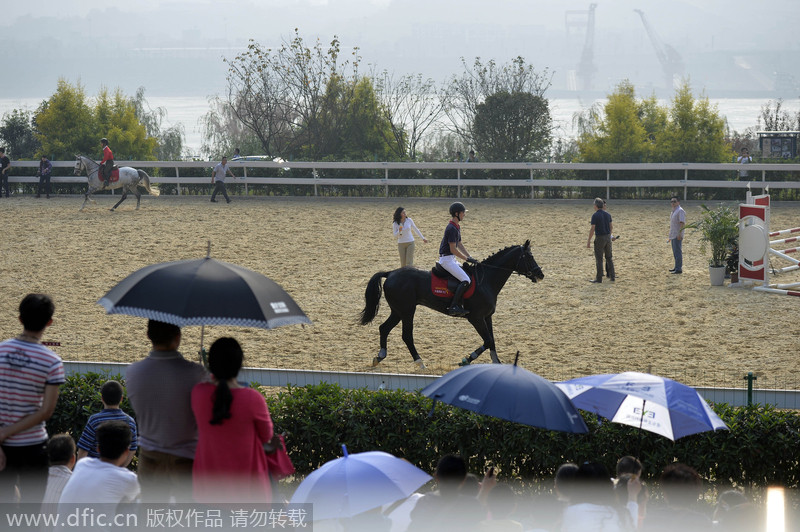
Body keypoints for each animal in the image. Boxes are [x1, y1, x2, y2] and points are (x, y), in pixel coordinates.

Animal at [358, 243, 540, 368]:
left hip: (398, 311)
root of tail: (390, 273)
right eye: (529, 257)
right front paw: (466, 359)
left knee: (384, 328)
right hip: (407, 311)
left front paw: (497, 363)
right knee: (406, 335)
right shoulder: (476, 318)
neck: (486, 280)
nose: (541, 274)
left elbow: (492, 340)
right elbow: (487, 340)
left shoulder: (487, 317)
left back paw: (379, 356)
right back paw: (420, 362)